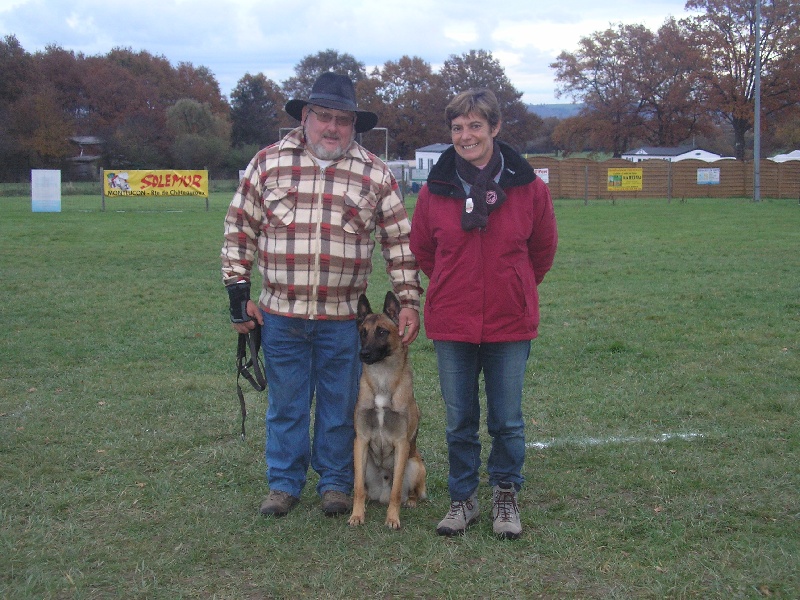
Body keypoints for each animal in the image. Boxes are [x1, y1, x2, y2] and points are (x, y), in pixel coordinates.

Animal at [346, 292, 428, 528]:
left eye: (382, 331)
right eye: (363, 333)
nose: (363, 354)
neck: (382, 380)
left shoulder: (401, 444)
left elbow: (396, 490)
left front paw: (392, 518)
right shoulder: (361, 440)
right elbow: (358, 488)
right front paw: (357, 515)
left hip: (415, 464)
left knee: (410, 491)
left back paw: (410, 501)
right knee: (363, 488)